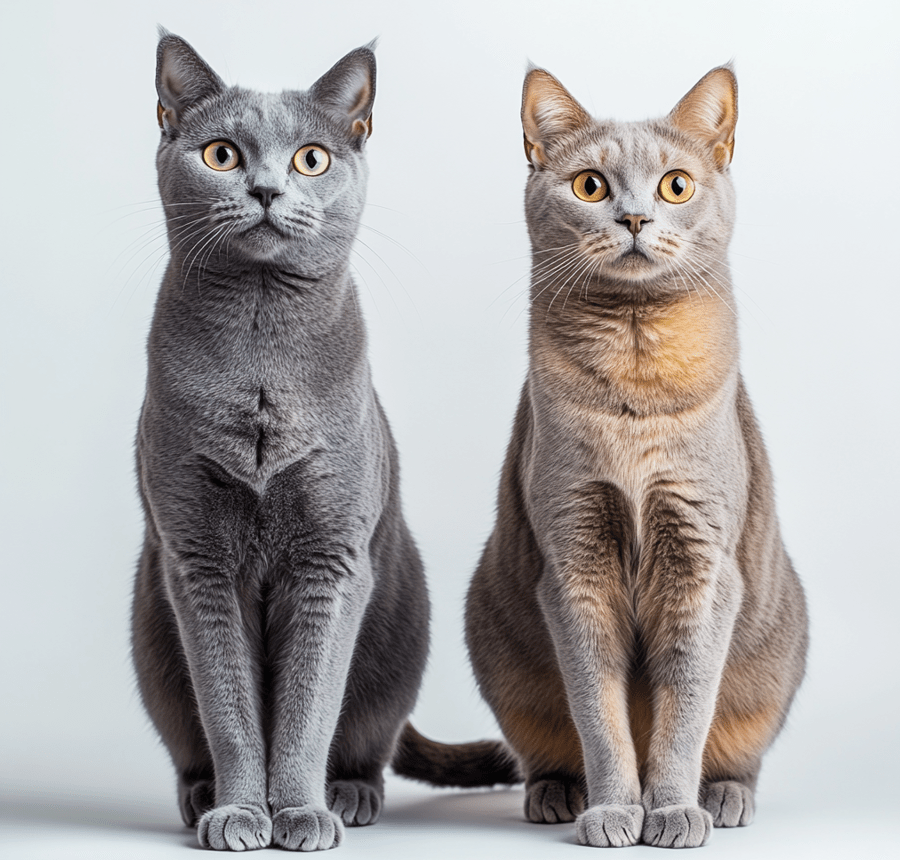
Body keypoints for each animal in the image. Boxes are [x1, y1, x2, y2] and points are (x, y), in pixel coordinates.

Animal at [128, 30, 430, 848]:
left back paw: (348, 794)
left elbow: (306, 707)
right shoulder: (195, 561)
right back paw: (203, 795)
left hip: (400, 628)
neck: (262, 349)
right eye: (222, 154)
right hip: (151, 630)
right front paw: (241, 812)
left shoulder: (332, 559)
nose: (265, 189)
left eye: (311, 159)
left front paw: (297, 810)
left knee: (364, 734)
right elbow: (231, 708)